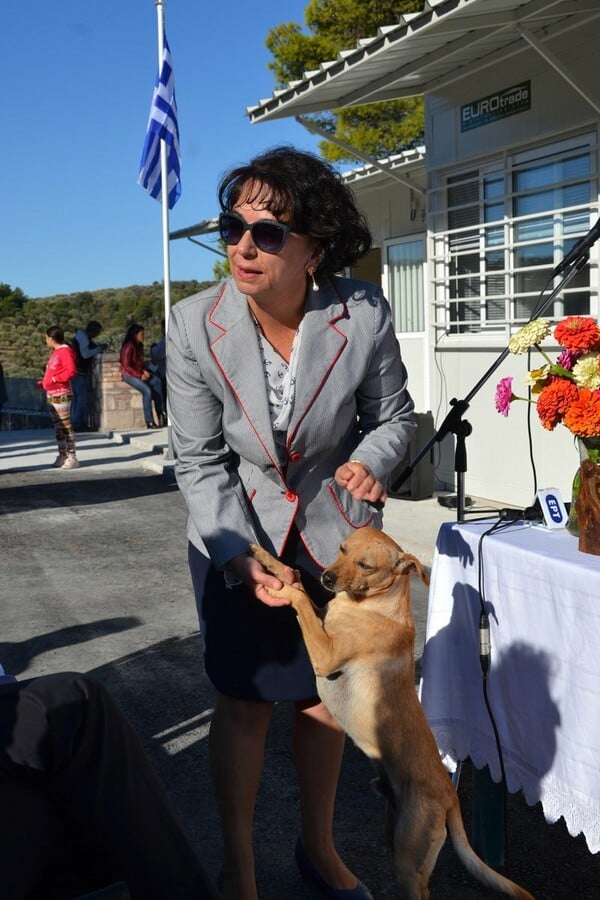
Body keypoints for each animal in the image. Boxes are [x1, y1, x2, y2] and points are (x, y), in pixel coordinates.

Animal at [248, 528, 536, 900]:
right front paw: (267, 560)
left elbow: (299, 597)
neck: (371, 605)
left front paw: (280, 589)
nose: (326, 577)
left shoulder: (325, 655)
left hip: (409, 864)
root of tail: (450, 796)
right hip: (395, 841)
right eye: (341, 549)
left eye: (366, 566)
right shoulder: (323, 615)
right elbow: (300, 587)